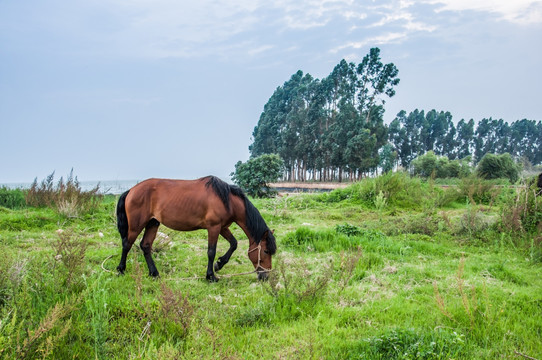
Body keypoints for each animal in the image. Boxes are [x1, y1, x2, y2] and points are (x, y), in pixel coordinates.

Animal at [115, 175, 276, 282]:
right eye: (266, 251)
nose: (265, 276)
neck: (227, 200)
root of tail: (131, 190)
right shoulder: (214, 227)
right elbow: (211, 251)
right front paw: (211, 276)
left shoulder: (222, 227)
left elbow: (234, 244)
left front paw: (219, 265)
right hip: (136, 225)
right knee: (127, 244)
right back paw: (121, 269)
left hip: (152, 223)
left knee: (145, 245)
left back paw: (154, 273)